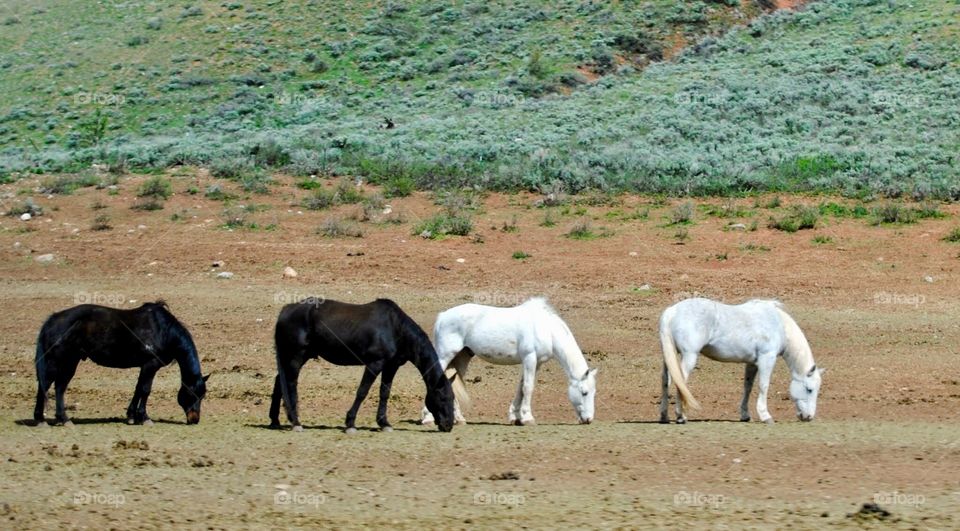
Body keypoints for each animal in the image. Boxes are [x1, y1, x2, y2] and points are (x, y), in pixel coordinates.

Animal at [34, 301, 209, 426]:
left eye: (203, 395)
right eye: (192, 393)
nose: (194, 419)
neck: (163, 331)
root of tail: (52, 320)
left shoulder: (144, 366)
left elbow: (138, 388)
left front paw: (132, 416)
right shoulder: (150, 365)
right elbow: (145, 390)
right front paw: (144, 418)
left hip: (70, 362)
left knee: (59, 387)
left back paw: (62, 419)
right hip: (58, 362)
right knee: (47, 385)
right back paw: (43, 419)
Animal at [269, 297, 457, 433]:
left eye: (452, 398)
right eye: (442, 397)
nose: (448, 425)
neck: (395, 328)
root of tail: (286, 310)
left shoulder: (391, 366)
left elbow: (384, 393)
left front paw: (384, 423)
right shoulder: (374, 364)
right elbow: (362, 392)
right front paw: (350, 423)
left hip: (296, 357)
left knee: (279, 383)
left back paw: (275, 420)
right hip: (296, 357)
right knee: (290, 385)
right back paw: (296, 422)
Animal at [420, 297, 598, 426]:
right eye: (584, 392)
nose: (588, 419)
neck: (545, 329)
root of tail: (443, 316)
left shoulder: (536, 363)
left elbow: (521, 387)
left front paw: (515, 417)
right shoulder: (529, 358)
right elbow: (528, 388)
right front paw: (527, 418)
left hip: (462, 358)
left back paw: (459, 419)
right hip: (445, 355)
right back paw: (427, 418)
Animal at [658, 297, 824, 424]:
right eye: (809, 389)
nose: (809, 417)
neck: (778, 325)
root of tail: (672, 312)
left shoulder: (752, 363)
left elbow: (747, 387)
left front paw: (745, 415)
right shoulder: (766, 359)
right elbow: (763, 385)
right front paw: (765, 416)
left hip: (669, 357)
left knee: (666, 381)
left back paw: (664, 416)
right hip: (689, 356)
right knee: (681, 383)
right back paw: (681, 416)